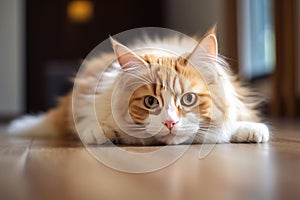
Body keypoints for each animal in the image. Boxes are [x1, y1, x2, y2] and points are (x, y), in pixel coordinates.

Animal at [7, 27, 270, 145]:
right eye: (150, 102)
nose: (170, 122)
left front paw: (251, 130)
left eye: (188, 99)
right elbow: (89, 119)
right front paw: (101, 133)